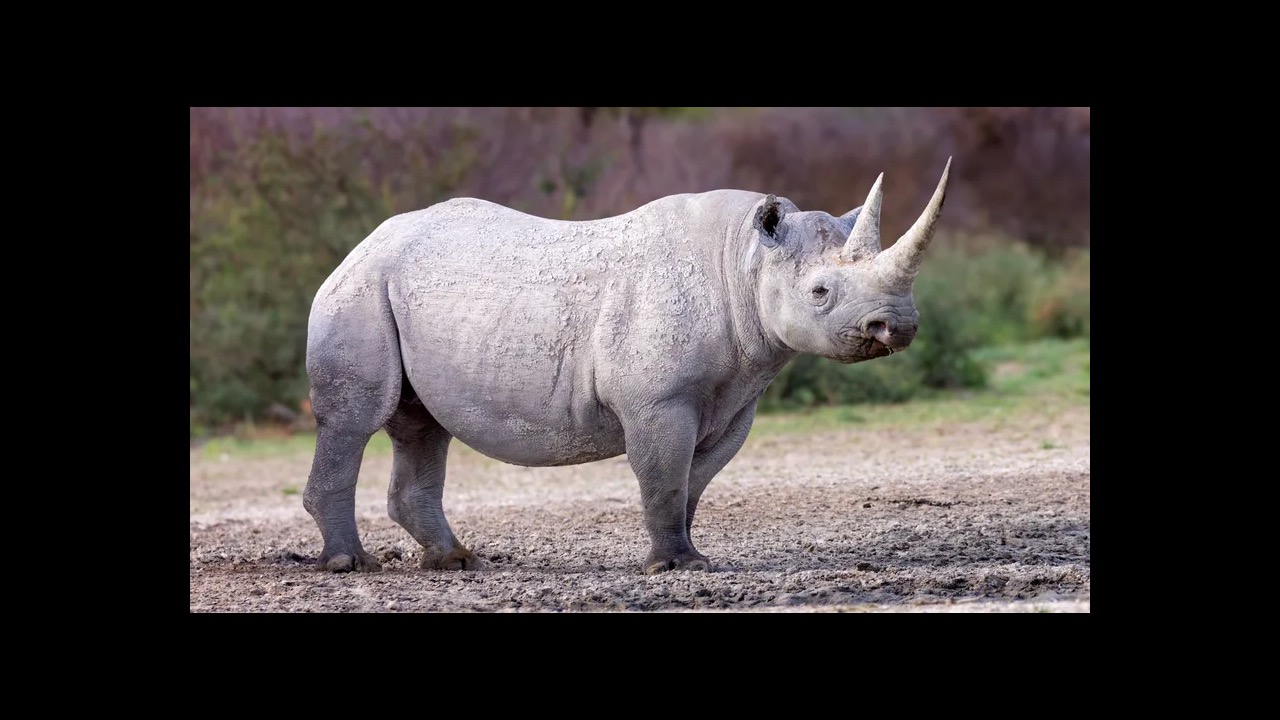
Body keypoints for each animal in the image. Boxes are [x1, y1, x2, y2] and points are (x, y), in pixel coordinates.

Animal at [303, 158, 952, 574]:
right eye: (819, 292)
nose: (897, 327)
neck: (745, 263)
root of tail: (361, 244)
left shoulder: (735, 398)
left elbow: (693, 481)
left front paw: (689, 557)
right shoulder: (657, 400)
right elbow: (663, 476)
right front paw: (674, 568)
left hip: (401, 291)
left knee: (421, 424)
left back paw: (456, 562)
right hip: (358, 290)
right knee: (357, 419)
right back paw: (350, 564)